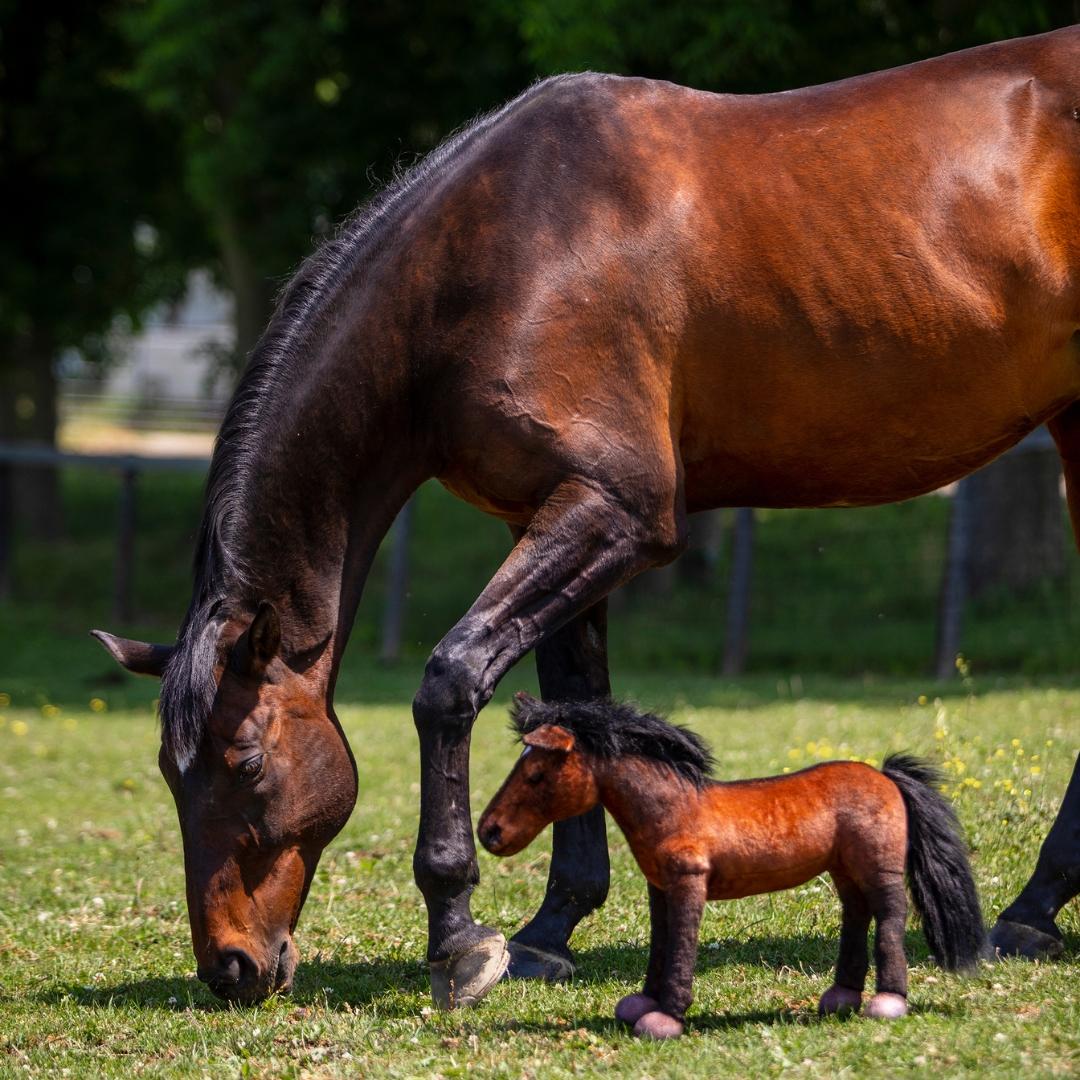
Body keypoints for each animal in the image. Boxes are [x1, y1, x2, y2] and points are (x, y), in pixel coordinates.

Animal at [479, 691, 989, 1036]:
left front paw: (667, 1017)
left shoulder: (689, 883)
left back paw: (888, 1001)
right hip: (845, 871)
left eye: (536, 774)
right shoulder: (659, 886)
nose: (490, 832)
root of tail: (885, 776)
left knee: (890, 916)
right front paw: (643, 1004)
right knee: (855, 914)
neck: (675, 809)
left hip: (878, 869)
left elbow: (682, 944)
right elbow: (661, 942)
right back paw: (841, 997)